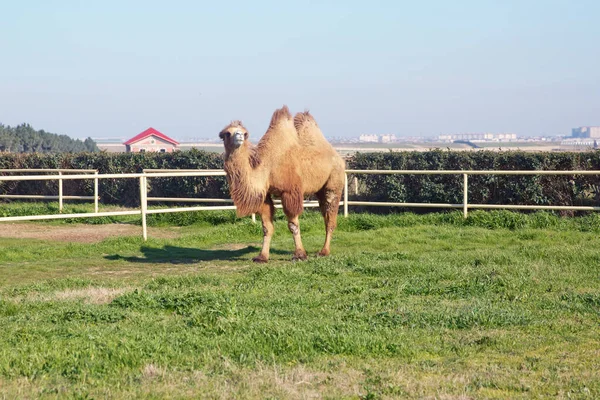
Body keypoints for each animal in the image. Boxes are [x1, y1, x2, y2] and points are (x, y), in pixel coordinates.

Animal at [219, 105, 344, 262]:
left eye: (244, 133)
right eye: (227, 133)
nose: (239, 137)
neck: (268, 166)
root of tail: (339, 157)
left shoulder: (290, 192)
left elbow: (293, 225)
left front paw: (299, 255)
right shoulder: (265, 195)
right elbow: (267, 227)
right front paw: (262, 256)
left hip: (334, 180)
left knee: (330, 216)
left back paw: (324, 251)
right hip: (320, 189)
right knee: (326, 215)